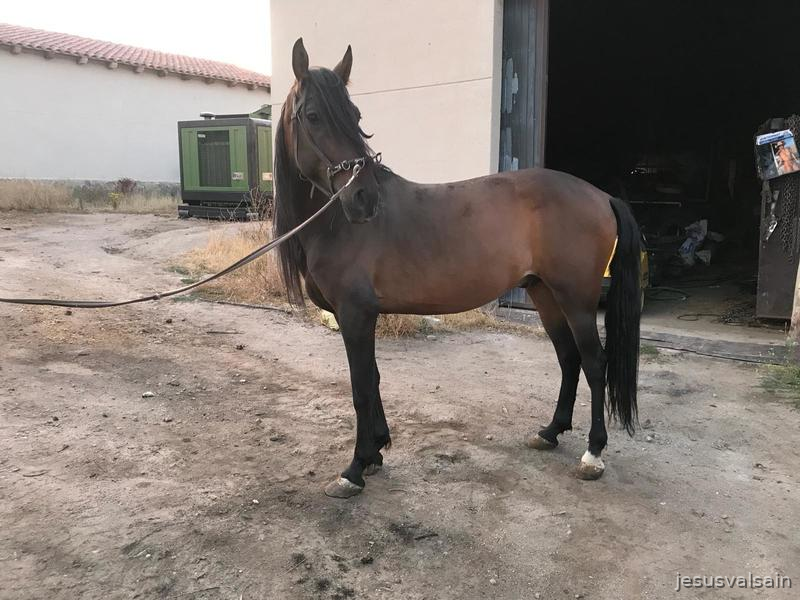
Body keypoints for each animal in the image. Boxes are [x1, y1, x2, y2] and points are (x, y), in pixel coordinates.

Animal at [274, 39, 641, 498]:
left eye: (355, 116)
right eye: (312, 116)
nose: (365, 198)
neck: (336, 224)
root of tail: (602, 195)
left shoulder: (355, 314)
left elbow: (360, 388)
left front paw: (355, 468)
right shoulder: (360, 316)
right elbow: (373, 379)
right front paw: (376, 452)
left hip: (575, 299)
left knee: (594, 363)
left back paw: (593, 454)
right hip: (545, 295)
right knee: (569, 358)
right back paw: (550, 432)